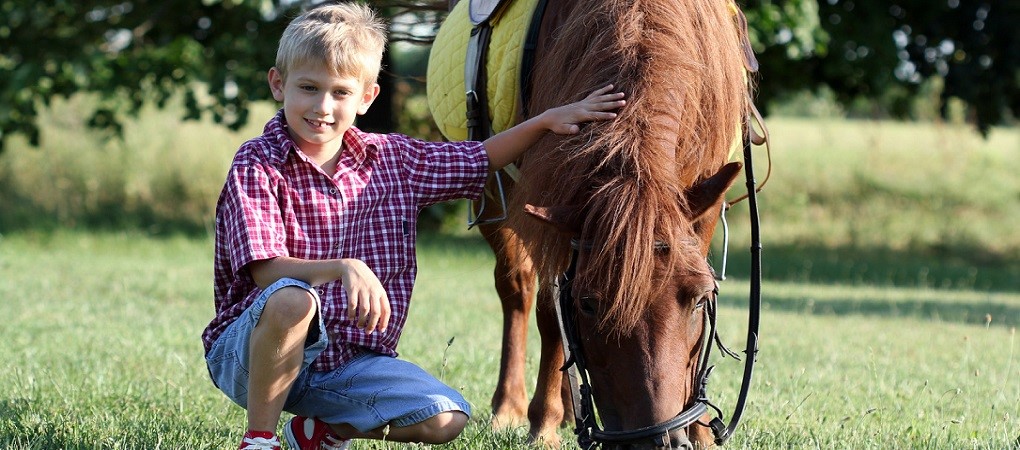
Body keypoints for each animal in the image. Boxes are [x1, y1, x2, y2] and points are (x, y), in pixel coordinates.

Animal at [426, 0, 754, 444]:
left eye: (701, 298)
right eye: (587, 304)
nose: (658, 440)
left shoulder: (700, 202)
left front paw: (702, 432)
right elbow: (551, 315)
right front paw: (542, 424)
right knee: (518, 290)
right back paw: (512, 407)